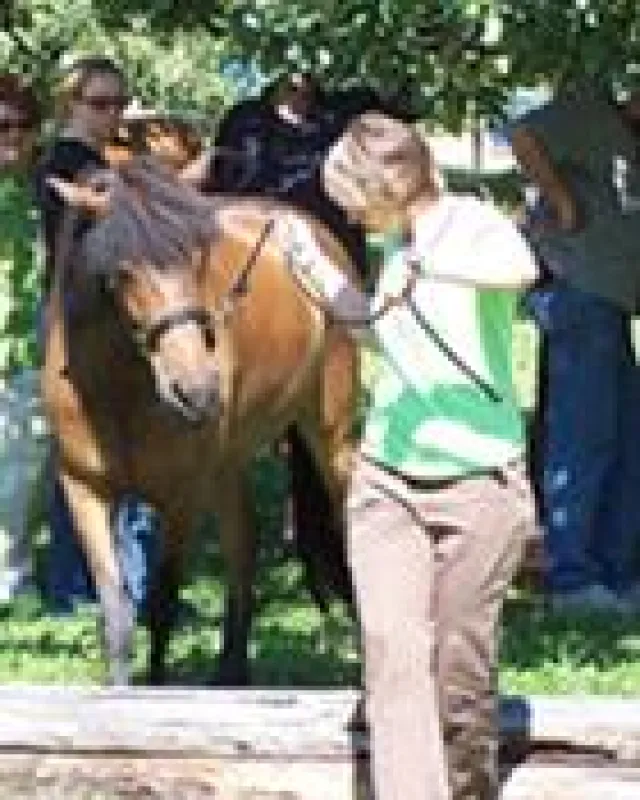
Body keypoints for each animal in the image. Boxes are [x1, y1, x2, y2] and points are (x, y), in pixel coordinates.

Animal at [41, 155, 361, 686]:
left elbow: (163, 602)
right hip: (227, 463)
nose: (197, 391)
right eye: (122, 270)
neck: (117, 391)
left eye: (197, 259)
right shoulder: (84, 490)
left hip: (330, 435)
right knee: (243, 544)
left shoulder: (181, 497)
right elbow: (117, 614)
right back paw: (231, 672)